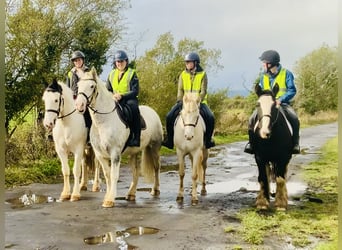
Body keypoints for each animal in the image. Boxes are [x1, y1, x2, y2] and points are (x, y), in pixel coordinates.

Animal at [75, 67, 163, 208]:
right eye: (78, 85)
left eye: (92, 86)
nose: (79, 106)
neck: (103, 121)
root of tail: (153, 112)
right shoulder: (100, 154)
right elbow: (107, 175)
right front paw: (107, 197)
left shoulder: (115, 153)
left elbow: (114, 175)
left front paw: (110, 200)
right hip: (134, 152)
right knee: (135, 171)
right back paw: (131, 194)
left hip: (154, 147)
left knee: (156, 167)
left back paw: (155, 190)